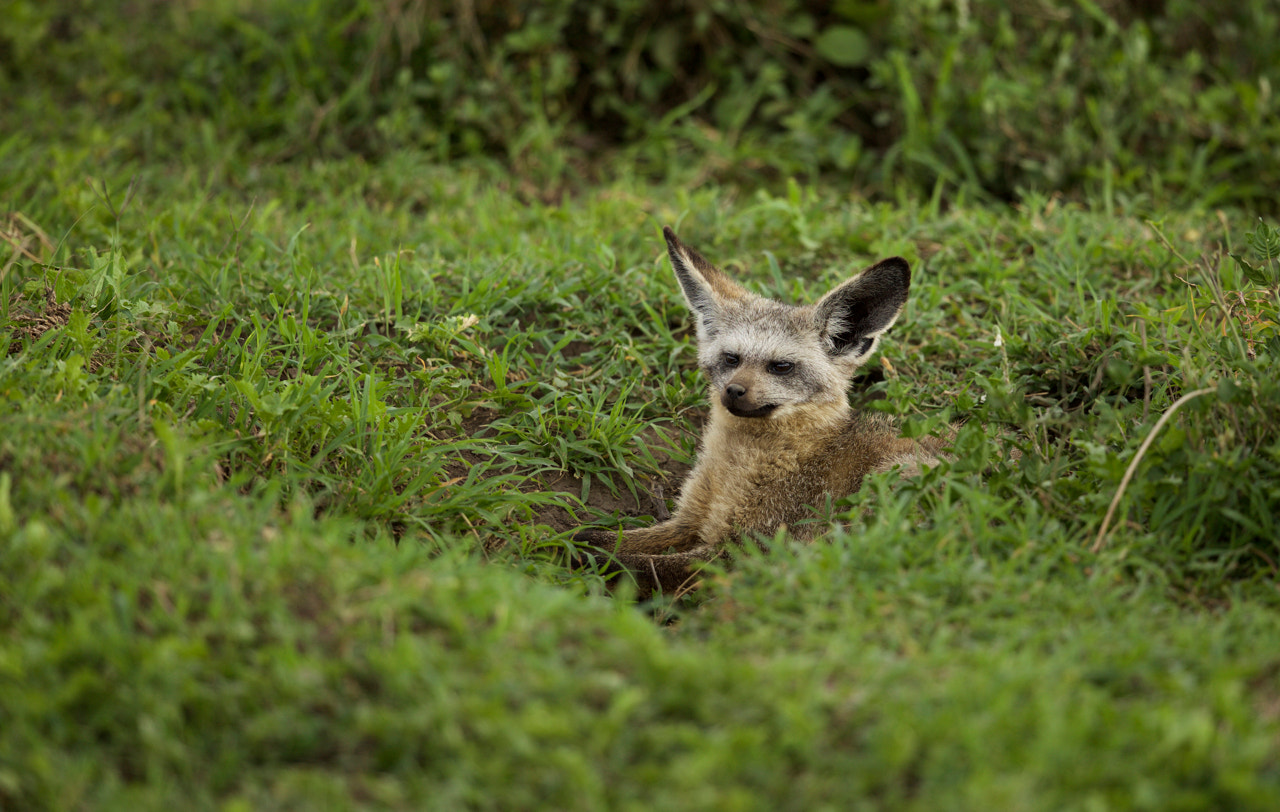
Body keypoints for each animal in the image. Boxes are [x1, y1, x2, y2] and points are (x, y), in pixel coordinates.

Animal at [573, 226, 949, 597]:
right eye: (731, 359)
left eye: (781, 367)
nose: (733, 391)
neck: (734, 470)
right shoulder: (689, 520)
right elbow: (608, 538)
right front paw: (575, 538)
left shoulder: (743, 550)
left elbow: (637, 562)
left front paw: (581, 557)